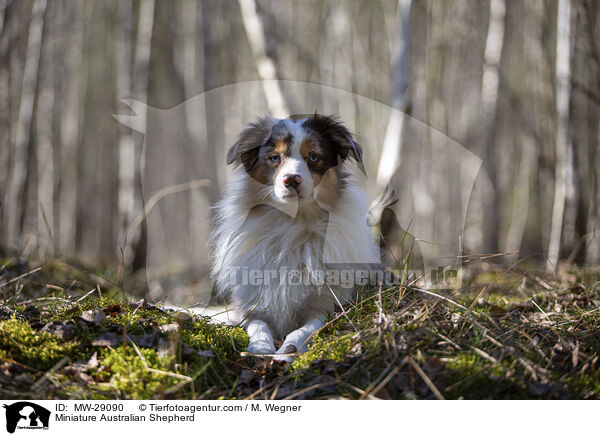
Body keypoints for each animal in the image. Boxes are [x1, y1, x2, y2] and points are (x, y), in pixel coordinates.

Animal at [211, 112, 380, 362]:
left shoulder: (327, 306)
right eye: (274, 158)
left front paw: (287, 351)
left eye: (314, 157)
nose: (291, 179)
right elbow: (258, 325)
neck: (293, 224)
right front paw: (261, 347)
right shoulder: (250, 306)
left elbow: (304, 329)